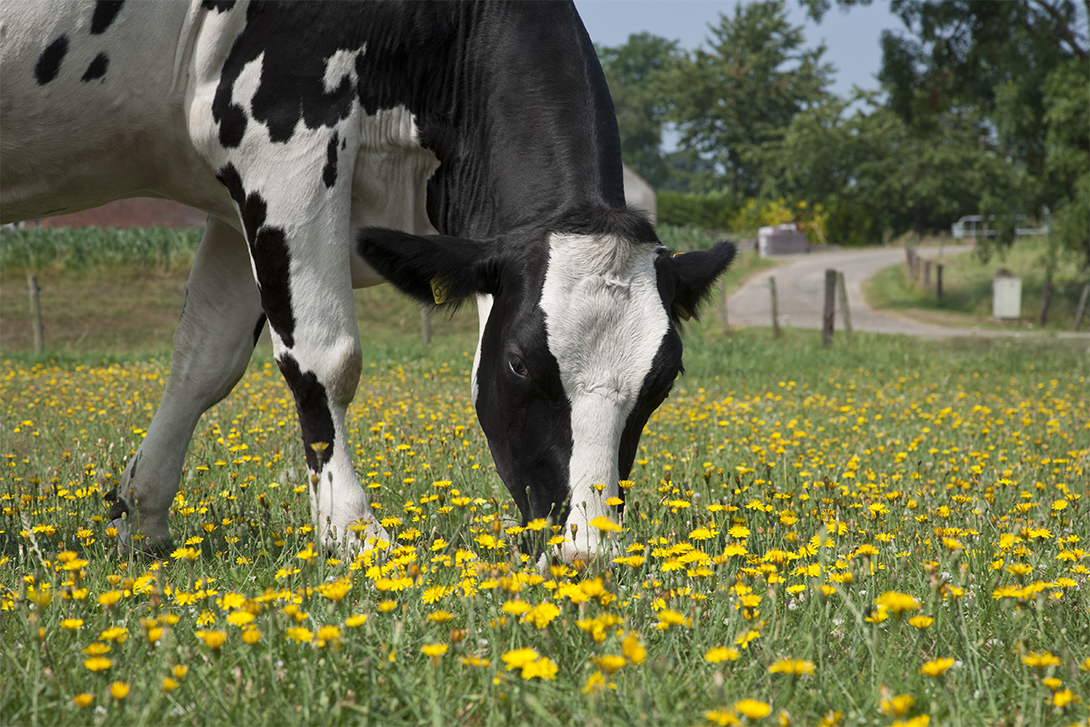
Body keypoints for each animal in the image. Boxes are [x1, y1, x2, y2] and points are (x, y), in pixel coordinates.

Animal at [2, 0, 732, 566]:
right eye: (519, 363)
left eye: (665, 378)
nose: (590, 551)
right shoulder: (286, 129)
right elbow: (326, 357)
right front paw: (353, 532)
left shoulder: (236, 205)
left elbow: (204, 361)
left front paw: (144, 517)